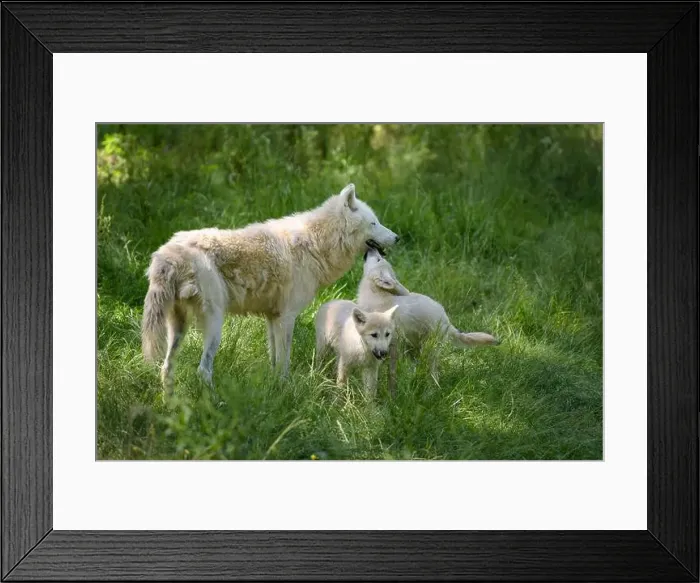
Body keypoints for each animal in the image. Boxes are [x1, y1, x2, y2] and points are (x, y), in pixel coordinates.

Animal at [141, 184, 398, 394]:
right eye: (374, 223)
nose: (397, 238)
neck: (315, 243)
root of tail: (168, 254)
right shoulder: (287, 317)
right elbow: (284, 362)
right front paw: (285, 388)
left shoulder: (272, 317)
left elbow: (274, 359)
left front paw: (273, 386)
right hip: (215, 324)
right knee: (203, 370)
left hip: (178, 327)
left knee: (166, 368)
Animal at [357, 247, 499, 378]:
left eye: (378, 259)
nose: (373, 248)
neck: (376, 295)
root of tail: (447, 322)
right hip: (413, 347)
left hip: (430, 348)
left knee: (432, 371)